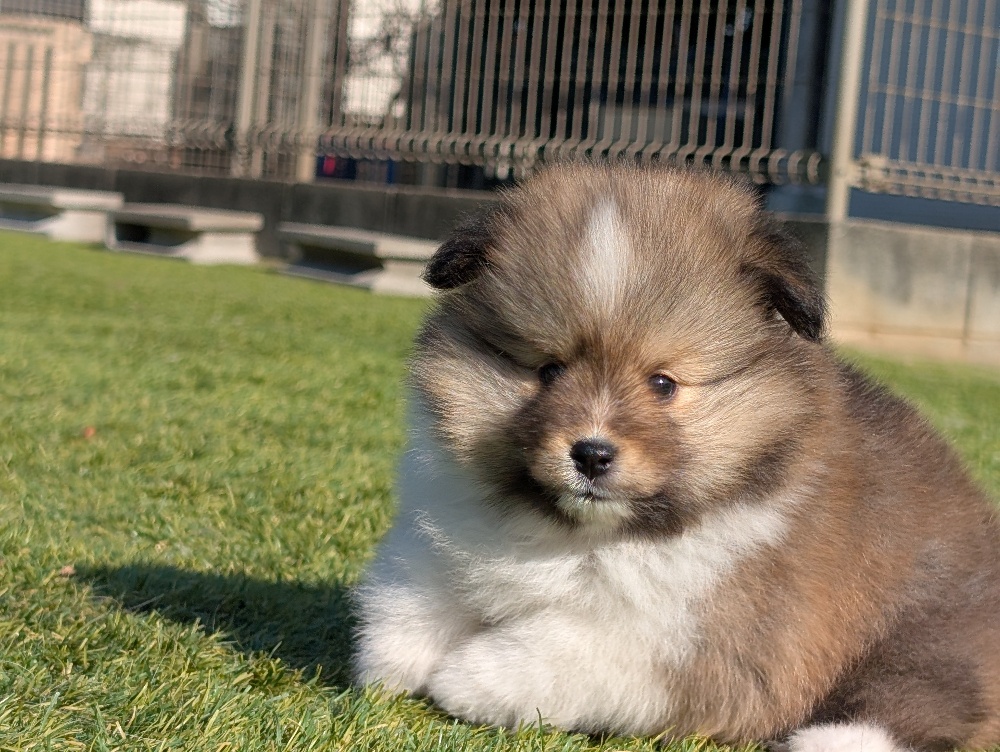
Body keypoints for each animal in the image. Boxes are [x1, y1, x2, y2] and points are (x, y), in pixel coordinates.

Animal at [352, 164, 1000, 752]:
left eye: (663, 384)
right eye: (550, 371)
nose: (591, 453)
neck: (583, 535)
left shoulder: (710, 643)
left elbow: (567, 649)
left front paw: (464, 677)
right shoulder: (451, 525)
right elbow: (412, 590)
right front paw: (394, 658)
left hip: (929, 621)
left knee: (921, 692)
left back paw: (831, 740)